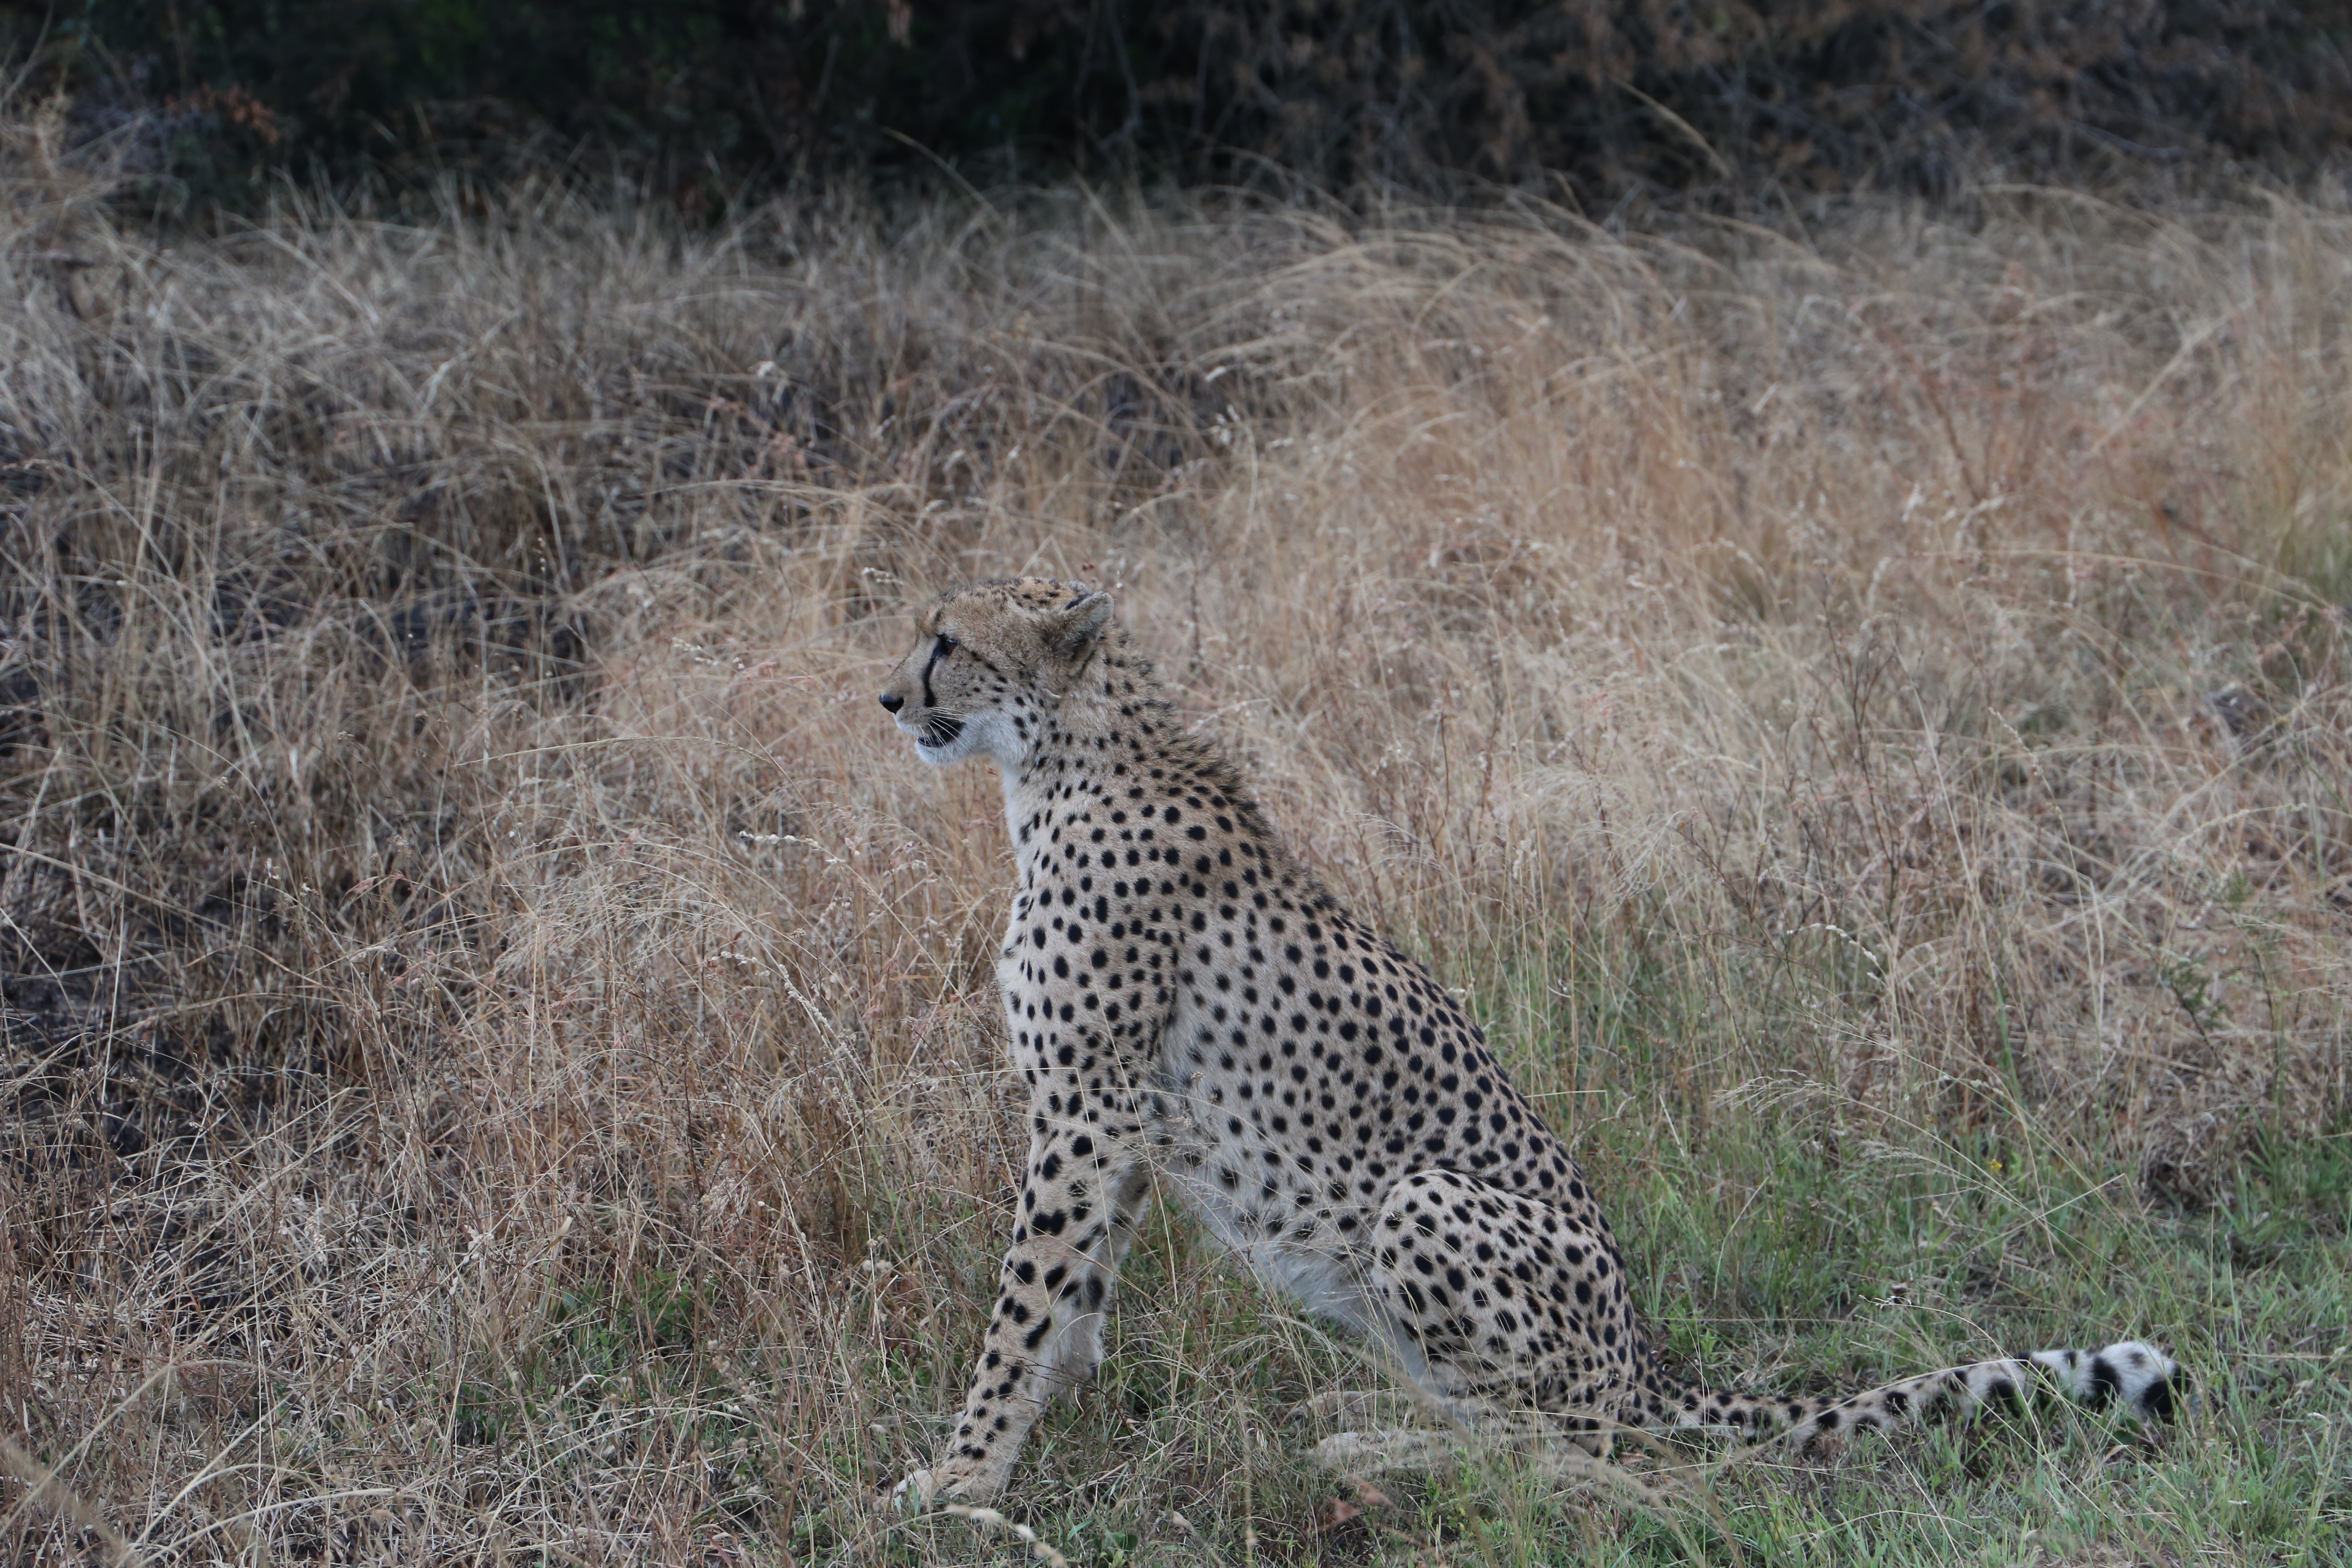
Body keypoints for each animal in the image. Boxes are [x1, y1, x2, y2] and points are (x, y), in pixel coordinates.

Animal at [876, 576, 2181, 1507]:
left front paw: (963, 1472)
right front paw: (1059, 1410)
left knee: (1563, 1448)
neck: (1058, 763)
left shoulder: (1085, 1103)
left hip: (1422, 1202)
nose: (888, 703)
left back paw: (1374, 1452)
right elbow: (1077, 1285)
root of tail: (1647, 1359)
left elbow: (1024, 1297)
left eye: (944, 638)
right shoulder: (1121, 1112)